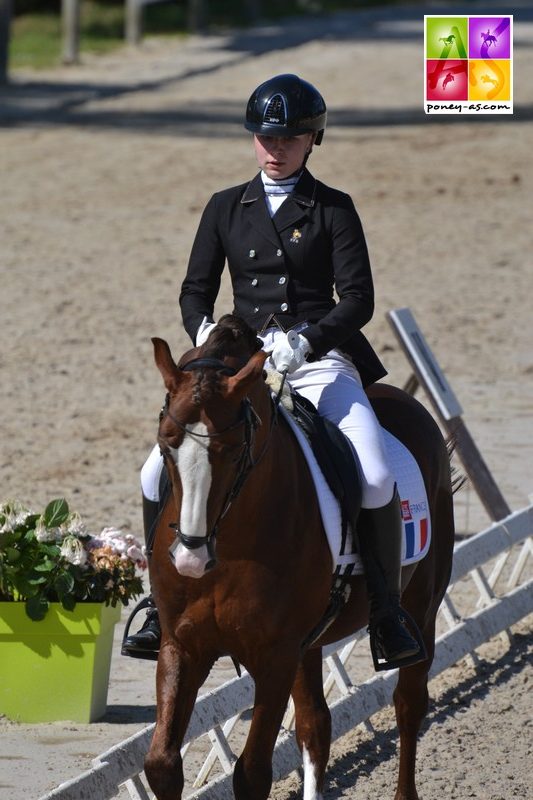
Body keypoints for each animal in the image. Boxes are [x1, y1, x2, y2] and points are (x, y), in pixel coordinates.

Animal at [144, 314, 455, 800]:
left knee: (409, 704)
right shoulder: (182, 645)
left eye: (233, 450)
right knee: (316, 725)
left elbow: (252, 773)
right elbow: (161, 764)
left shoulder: (274, 656)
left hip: (421, 606)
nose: (190, 561)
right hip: (308, 644)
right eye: (166, 444)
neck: (231, 545)